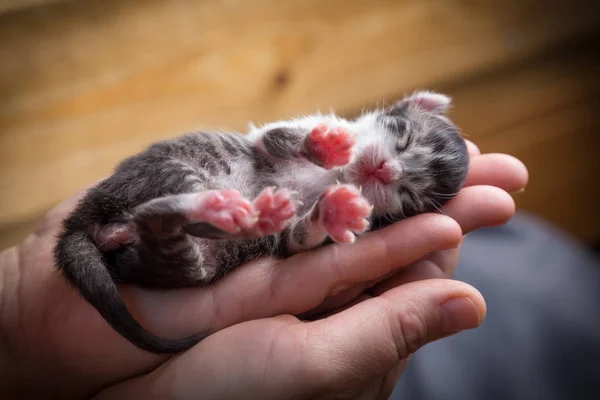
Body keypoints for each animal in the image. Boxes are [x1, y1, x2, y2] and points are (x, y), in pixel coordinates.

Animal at [54, 90, 472, 354]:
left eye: (408, 195)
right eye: (404, 137)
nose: (387, 170)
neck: (342, 177)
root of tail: (92, 216)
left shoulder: (297, 237)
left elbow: (297, 240)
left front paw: (334, 212)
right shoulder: (285, 131)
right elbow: (276, 139)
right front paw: (325, 147)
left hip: (188, 260)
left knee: (159, 225)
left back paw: (243, 215)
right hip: (174, 167)